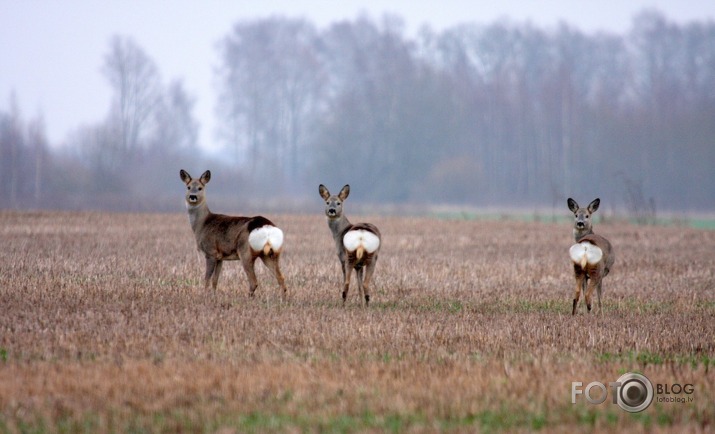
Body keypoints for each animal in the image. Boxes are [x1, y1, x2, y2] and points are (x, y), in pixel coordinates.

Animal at [179, 170, 288, 298]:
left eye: (200, 188)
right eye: (188, 187)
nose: (193, 196)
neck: (202, 224)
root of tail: (266, 228)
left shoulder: (210, 252)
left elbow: (207, 278)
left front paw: (204, 295)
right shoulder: (220, 257)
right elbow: (215, 280)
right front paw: (213, 295)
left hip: (245, 252)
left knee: (254, 282)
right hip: (271, 254)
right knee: (281, 278)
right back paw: (282, 298)